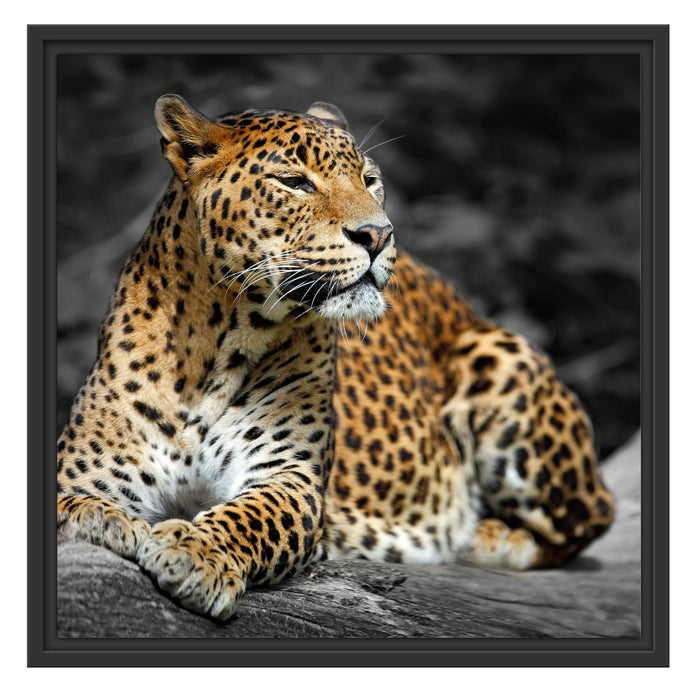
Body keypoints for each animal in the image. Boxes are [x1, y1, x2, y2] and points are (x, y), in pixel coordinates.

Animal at [57, 94, 615, 621]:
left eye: (370, 180)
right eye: (294, 182)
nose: (379, 234)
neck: (216, 345)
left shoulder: (289, 477)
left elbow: (248, 518)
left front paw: (196, 552)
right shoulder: (86, 469)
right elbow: (72, 501)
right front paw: (100, 519)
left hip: (499, 355)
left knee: (590, 518)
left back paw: (486, 536)